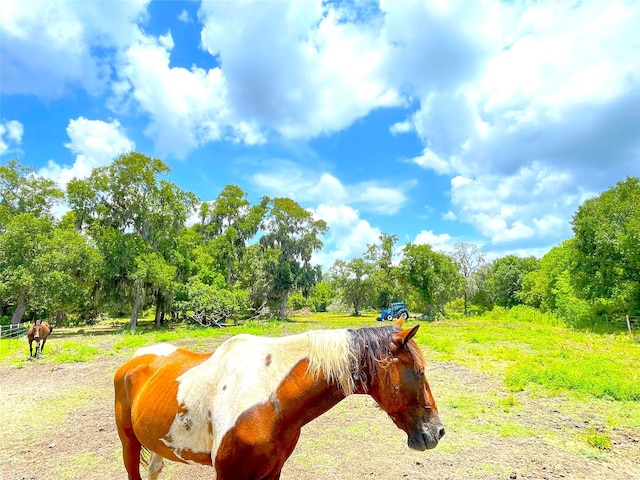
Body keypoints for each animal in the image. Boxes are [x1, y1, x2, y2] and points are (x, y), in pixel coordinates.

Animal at [114, 318, 444, 480]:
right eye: (418, 372)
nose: (437, 431)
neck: (269, 401)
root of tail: (134, 361)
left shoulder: (273, 471)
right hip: (129, 441)